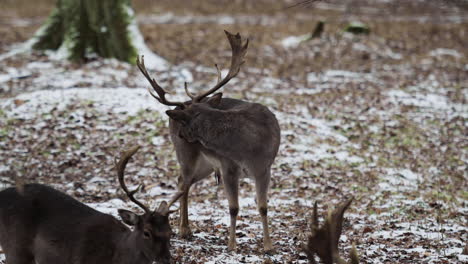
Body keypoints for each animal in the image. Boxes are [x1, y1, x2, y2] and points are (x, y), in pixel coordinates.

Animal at [136, 30, 282, 252]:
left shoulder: (264, 167)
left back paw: (184, 228)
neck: (248, 145)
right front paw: (231, 245)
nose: (181, 134)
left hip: (205, 164)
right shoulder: (229, 166)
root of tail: (181, 103)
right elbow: (233, 207)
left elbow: (263, 206)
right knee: (182, 182)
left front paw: (268, 245)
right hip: (186, 155)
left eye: (185, 123)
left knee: (183, 182)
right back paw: (184, 229)